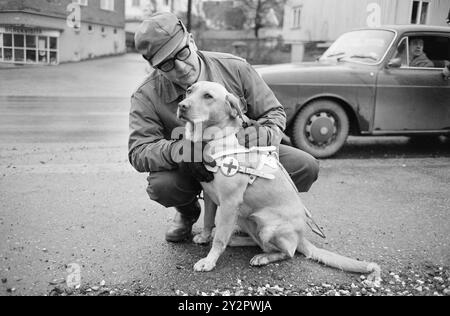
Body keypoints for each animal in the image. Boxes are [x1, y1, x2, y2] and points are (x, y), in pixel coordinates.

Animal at [178, 81, 382, 284]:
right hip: (245, 217)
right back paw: (236, 241)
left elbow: (219, 239)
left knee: (286, 252)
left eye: (208, 96)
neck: (216, 139)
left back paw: (263, 257)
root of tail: (301, 236)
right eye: (189, 91)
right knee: (258, 242)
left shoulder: (229, 203)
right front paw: (205, 237)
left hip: (267, 226)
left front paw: (209, 261)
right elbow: (207, 220)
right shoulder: (210, 195)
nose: (181, 106)